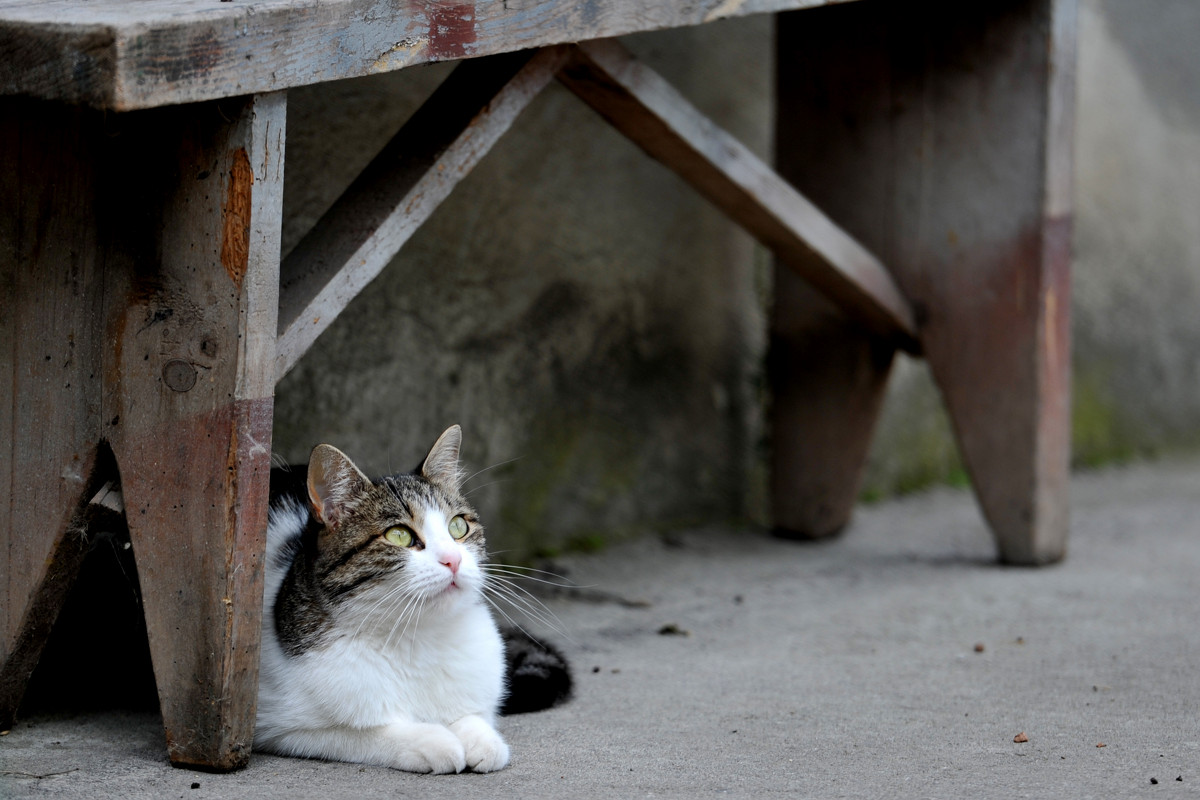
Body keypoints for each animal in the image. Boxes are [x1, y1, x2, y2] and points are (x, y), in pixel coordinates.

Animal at [252, 429, 566, 772]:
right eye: (399, 535)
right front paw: (433, 740)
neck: (418, 636)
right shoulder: (279, 724)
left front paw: (481, 738)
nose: (454, 559)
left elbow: (473, 714)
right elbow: (360, 733)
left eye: (458, 526)